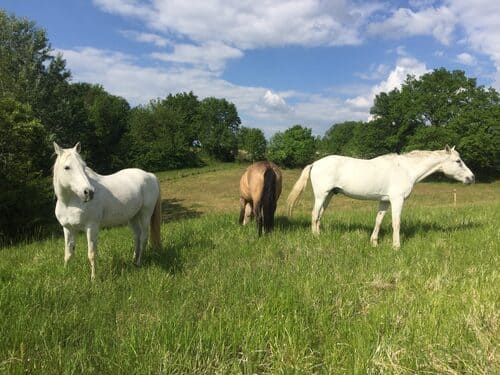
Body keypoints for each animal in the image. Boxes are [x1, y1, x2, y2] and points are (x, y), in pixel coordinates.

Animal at [52, 142, 162, 280]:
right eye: (67, 167)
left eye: (84, 166)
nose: (89, 192)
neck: (70, 202)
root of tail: (150, 175)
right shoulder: (68, 229)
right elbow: (68, 254)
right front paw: (65, 274)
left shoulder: (91, 227)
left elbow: (92, 254)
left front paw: (93, 279)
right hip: (133, 217)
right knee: (136, 236)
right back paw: (133, 260)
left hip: (145, 215)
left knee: (143, 237)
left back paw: (139, 262)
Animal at [288, 146, 474, 250]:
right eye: (458, 161)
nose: (471, 178)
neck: (406, 169)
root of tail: (315, 163)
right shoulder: (397, 200)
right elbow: (396, 223)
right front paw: (396, 247)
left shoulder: (384, 201)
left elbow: (378, 220)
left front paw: (374, 243)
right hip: (321, 195)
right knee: (314, 214)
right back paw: (315, 238)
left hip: (328, 196)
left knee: (319, 216)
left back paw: (319, 235)